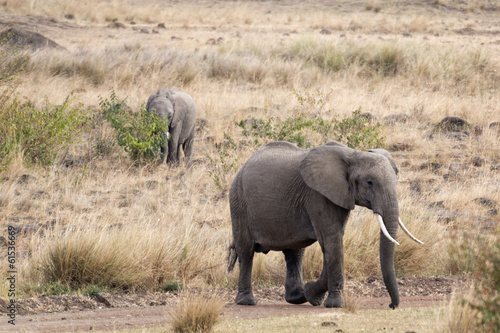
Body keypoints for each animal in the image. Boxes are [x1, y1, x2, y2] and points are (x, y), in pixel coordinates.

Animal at [229, 140, 424, 308]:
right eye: (369, 182)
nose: (391, 305)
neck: (353, 154)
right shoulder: (318, 195)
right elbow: (332, 241)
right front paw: (335, 304)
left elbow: (332, 244)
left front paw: (312, 295)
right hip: (239, 201)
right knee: (246, 251)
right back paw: (247, 301)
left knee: (295, 252)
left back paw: (297, 298)